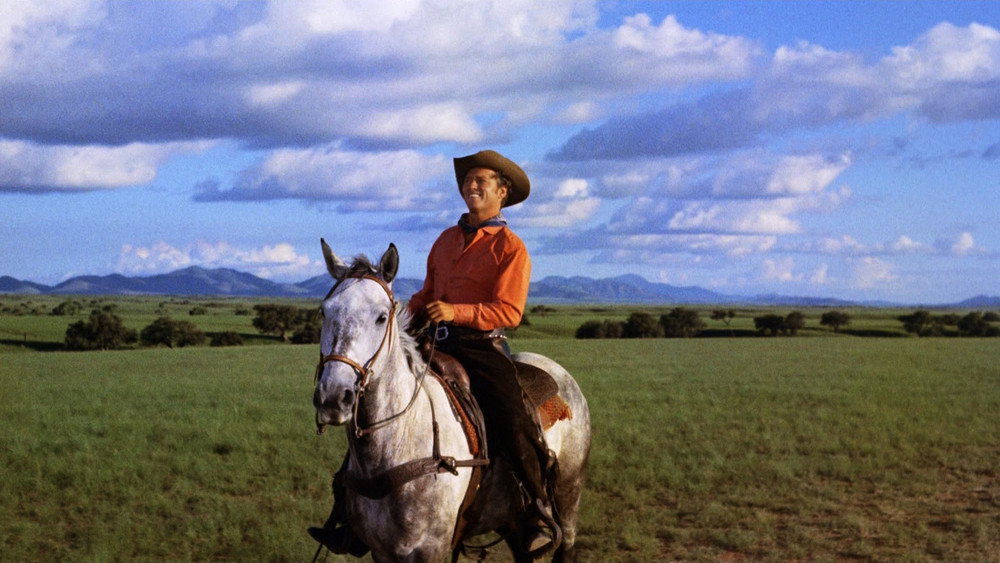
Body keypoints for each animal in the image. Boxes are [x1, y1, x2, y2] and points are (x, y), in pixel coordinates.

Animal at [312, 239, 591, 562]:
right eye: (324, 312)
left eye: (382, 317)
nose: (334, 396)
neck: (400, 441)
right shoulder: (382, 550)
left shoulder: (430, 549)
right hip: (512, 520)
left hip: (569, 495)